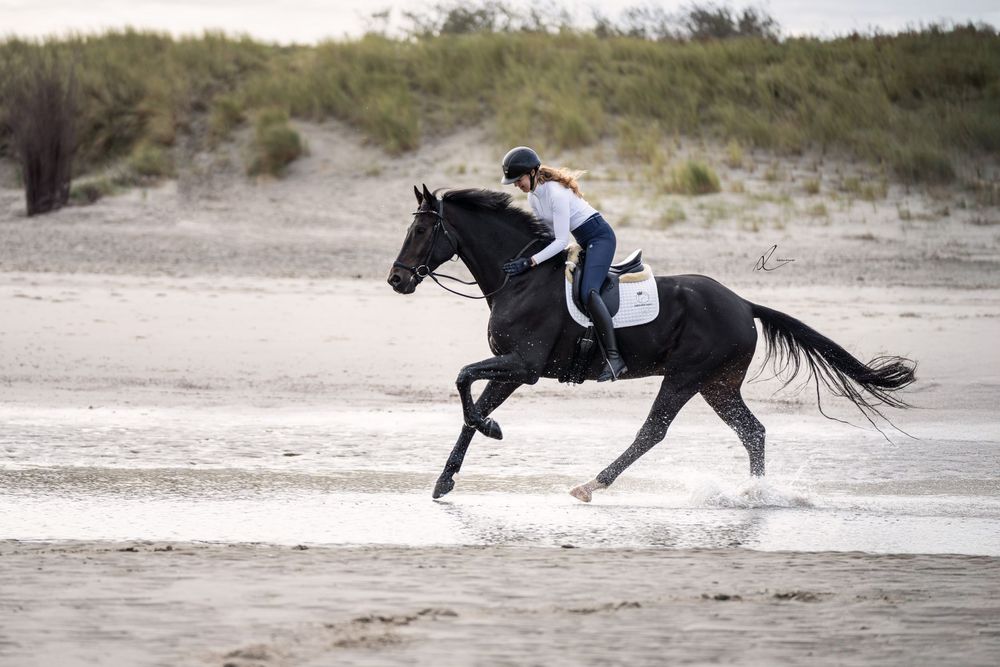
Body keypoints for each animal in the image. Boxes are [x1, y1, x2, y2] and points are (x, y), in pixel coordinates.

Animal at [387, 185, 916, 502]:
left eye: (421, 229)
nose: (396, 280)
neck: (520, 278)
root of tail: (743, 303)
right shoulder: (511, 367)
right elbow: (471, 405)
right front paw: (447, 478)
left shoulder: (524, 364)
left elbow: (464, 381)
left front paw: (491, 430)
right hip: (718, 384)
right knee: (753, 432)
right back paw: (754, 495)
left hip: (685, 376)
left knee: (653, 431)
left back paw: (592, 484)